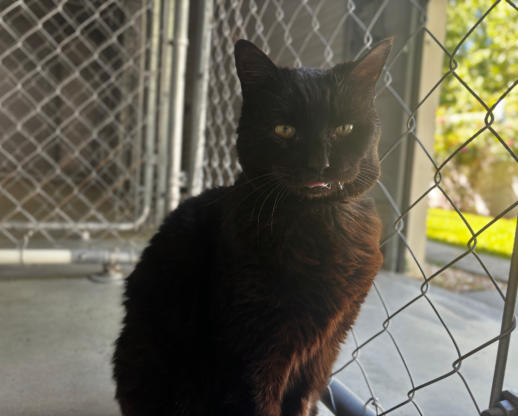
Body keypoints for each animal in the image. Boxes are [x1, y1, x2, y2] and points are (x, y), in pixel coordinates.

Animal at [112, 38, 392, 416]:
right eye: (284, 130)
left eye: (344, 129)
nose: (319, 164)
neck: (319, 225)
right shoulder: (254, 350)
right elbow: (259, 402)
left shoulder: (326, 347)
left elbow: (303, 400)